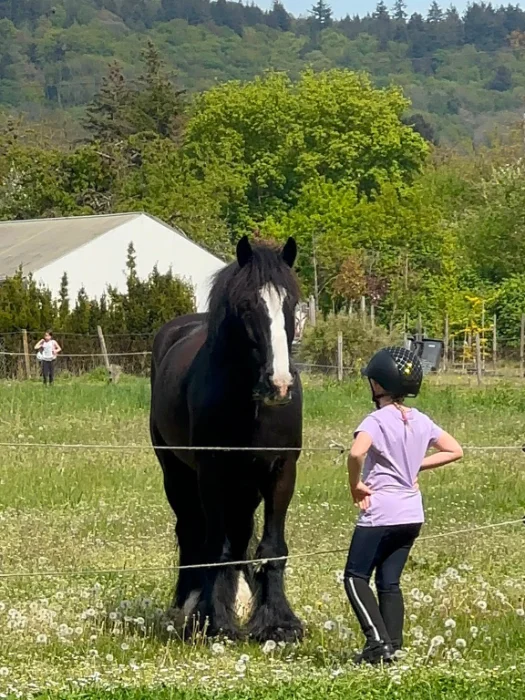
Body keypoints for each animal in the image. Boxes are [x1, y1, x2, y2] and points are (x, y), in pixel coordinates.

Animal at [149, 235, 303, 642]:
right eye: (247, 304)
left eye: (291, 304)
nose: (279, 384)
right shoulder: (212, 472)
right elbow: (215, 546)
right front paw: (215, 620)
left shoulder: (281, 470)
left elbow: (271, 546)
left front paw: (278, 622)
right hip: (177, 473)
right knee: (191, 530)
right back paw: (187, 604)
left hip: (245, 484)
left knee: (240, 532)